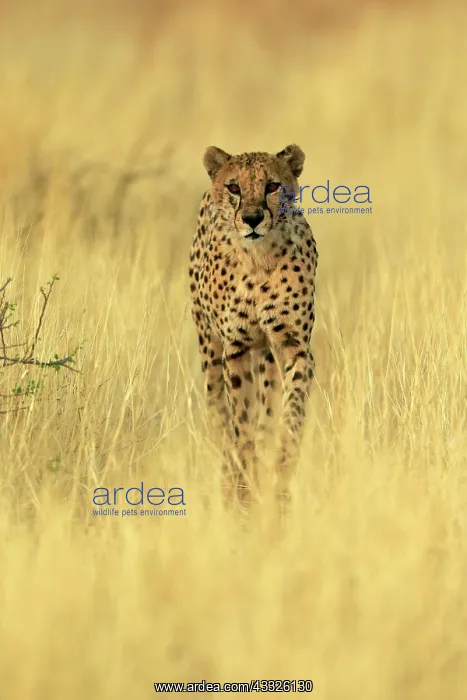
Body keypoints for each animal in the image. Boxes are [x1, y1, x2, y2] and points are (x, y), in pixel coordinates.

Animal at [188, 144, 318, 500]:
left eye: (272, 186)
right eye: (234, 187)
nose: (252, 219)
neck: (258, 259)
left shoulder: (293, 346)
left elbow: (290, 410)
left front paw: (283, 463)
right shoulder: (236, 348)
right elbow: (241, 417)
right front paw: (244, 477)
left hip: (267, 355)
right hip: (209, 349)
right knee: (219, 413)